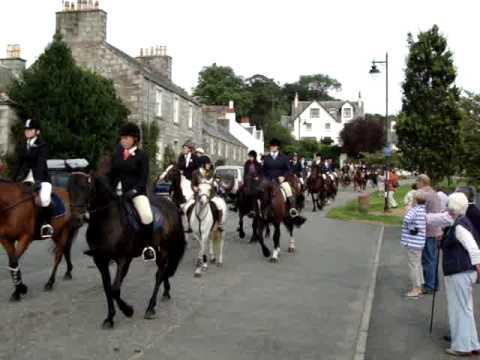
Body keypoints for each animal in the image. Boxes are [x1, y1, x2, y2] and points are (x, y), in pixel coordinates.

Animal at [67, 173, 186, 328]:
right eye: (68, 188)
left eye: (85, 187)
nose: (76, 219)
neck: (106, 222)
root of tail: (170, 204)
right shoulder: (100, 260)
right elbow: (107, 288)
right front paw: (110, 318)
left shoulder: (123, 259)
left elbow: (115, 289)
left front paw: (128, 310)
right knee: (164, 271)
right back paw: (166, 292)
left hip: (164, 250)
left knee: (159, 274)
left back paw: (150, 308)